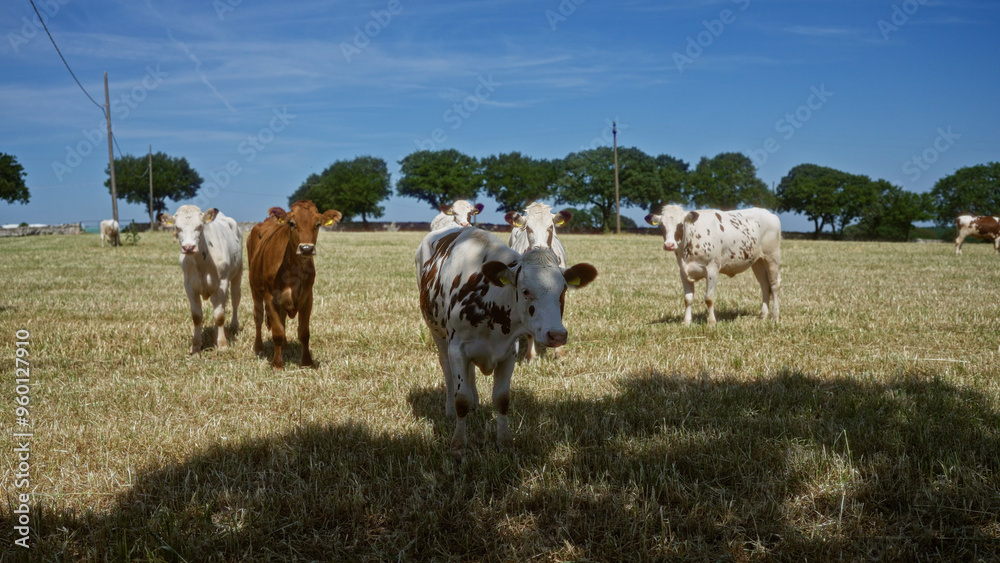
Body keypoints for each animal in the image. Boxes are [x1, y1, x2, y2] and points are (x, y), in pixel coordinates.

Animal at [158, 206, 243, 354]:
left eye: (199, 226)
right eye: (177, 227)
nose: (188, 247)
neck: (202, 263)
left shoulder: (222, 283)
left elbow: (220, 315)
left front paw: (222, 344)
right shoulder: (189, 286)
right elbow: (197, 316)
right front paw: (196, 345)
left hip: (237, 274)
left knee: (235, 300)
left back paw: (234, 325)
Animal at [247, 200, 342, 369]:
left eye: (317, 224)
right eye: (292, 223)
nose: (306, 248)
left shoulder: (307, 298)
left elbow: (304, 332)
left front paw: (307, 362)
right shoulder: (270, 297)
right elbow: (277, 332)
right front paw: (277, 364)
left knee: (282, 318)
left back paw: (285, 347)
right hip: (255, 289)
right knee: (258, 317)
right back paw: (258, 347)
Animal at [416, 226, 597, 461]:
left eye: (563, 290)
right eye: (526, 290)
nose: (557, 335)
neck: (491, 301)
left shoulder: (508, 352)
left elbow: (502, 399)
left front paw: (504, 442)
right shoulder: (457, 349)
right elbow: (461, 400)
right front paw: (458, 446)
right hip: (437, 333)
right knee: (447, 370)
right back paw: (449, 410)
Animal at [646, 205, 781, 326]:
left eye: (680, 224)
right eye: (661, 225)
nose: (669, 245)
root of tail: (770, 214)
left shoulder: (712, 269)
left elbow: (709, 298)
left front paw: (711, 322)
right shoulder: (683, 272)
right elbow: (688, 299)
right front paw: (686, 322)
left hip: (772, 257)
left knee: (774, 285)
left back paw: (775, 316)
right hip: (758, 262)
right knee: (765, 286)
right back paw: (763, 315)